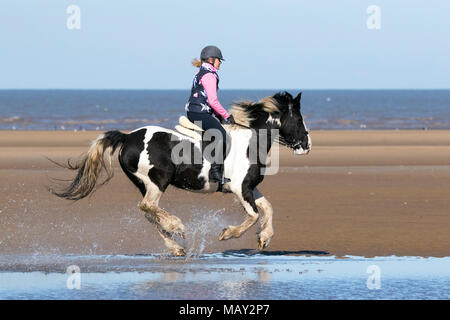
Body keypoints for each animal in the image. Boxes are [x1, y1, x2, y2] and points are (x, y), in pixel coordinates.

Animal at [49, 91, 310, 256]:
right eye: (298, 118)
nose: (307, 146)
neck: (250, 140)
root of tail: (128, 137)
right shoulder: (240, 188)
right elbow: (254, 215)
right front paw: (227, 234)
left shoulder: (249, 187)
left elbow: (267, 208)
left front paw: (264, 237)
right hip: (157, 181)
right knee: (148, 207)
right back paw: (178, 227)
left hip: (145, 184)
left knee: (149, 213)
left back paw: (176, 246)